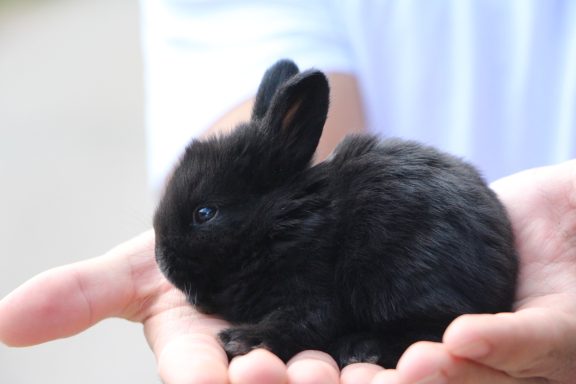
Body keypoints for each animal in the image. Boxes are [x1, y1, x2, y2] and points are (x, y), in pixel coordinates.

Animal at [153, 58, 516, 368]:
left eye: (205, 213)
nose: (162, 262)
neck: (290, 218)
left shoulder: (312, 292)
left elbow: (299, 323)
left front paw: (241, 340)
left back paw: (362, 348)